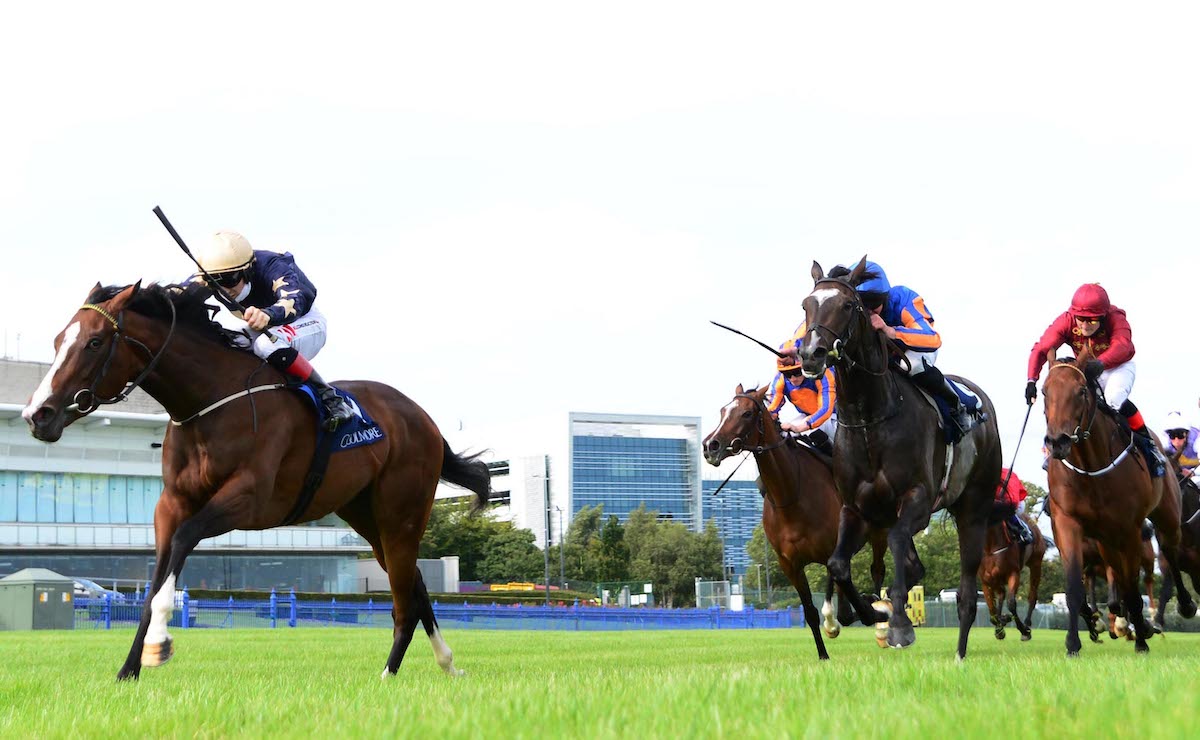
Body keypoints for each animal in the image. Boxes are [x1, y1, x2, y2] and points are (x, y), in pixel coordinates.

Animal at [22, 283, 487, 681]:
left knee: (404, 597)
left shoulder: (249, 499)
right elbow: (156, 577)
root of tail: (423, 418)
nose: (37, 414)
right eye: (59, 341)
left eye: (95, 342)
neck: (209, 400)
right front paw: (128, 669)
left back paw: (389, 674)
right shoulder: (171, 503)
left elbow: (184, 540)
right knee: (415, 583)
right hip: (366, 515)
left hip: (401, 512)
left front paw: (160, 642)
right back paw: (447, 663)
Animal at [700, 383, 892, 657]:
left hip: (879, 532)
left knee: (877, 570)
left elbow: (846, 601)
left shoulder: (832, 550)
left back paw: (879, 618)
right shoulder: (789, 564)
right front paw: (823, 654)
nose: (710, 446)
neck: (791, 496)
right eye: (722, 411)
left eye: (747, 413)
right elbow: (811, 612)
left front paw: (868, 608)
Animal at [796, 257, 1003, 657]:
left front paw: (899, 625)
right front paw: (869, 614)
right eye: (806, 305)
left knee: (967, 593)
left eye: (848, 305)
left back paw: (959, 652)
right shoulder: (855, 508)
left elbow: (894, 549)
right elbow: (838, 564)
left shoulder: (917, 499)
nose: (810, 353)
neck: (870, 420)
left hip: (973, 508)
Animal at [979, 513, 1046, 642]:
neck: (990, 547)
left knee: (1032, 596)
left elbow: (1011, 603)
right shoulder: (986, 580)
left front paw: (1023, 630)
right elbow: (992, 610)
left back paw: (1026, 624)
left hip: (1036, 564)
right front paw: (1000, 628)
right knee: (1001, 594)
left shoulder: (1013, 573)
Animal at [1041, 352, 1190, 652]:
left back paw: (1178, 608)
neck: (1091, 466)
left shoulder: (1129, 529)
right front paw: (1073, 643)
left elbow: (1131, 589)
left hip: (1165, 518)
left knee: (1169, 554)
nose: (1057, 442)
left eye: (1081, 391)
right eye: (1044, 392)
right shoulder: (1068, 522)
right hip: (1107, 541)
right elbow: (1075, 587)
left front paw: (1141, 640)